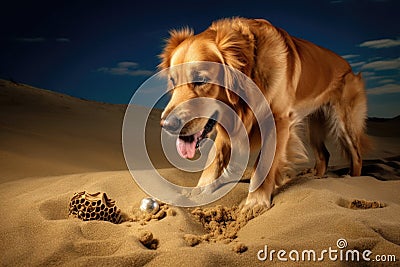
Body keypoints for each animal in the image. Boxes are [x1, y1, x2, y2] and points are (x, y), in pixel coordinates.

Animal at [158, 17, 368, 209]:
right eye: (173, 80)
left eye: (200, 80)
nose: (167, 125)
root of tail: (348, 66)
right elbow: (214, 161)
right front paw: (197, 193)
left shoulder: (278, 121)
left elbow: (264, 163)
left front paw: (256, 202)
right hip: (314, 125)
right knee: (324, 155)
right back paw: (316, 177)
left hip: (345, 123)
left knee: (356, 155)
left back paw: (354, 181)